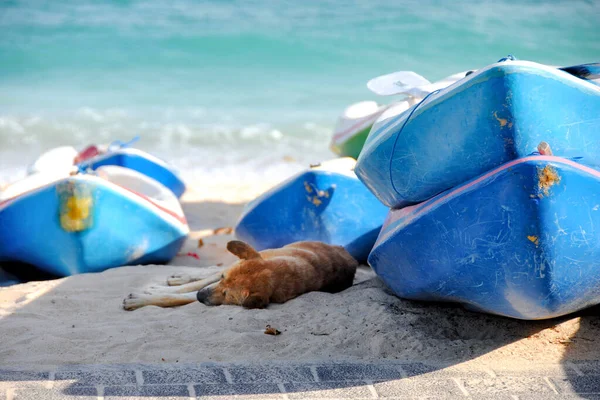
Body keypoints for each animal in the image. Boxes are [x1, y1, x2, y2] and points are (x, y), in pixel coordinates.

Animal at [122, 239, 356, 310]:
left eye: (228, 295)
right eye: (224, 280)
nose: (200, 297)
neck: (282, 272)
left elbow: (175, 297)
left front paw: (142, 299)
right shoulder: (218, 277)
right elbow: (192, 286)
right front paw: (153, 290)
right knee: (208, 273)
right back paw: (179, 278)